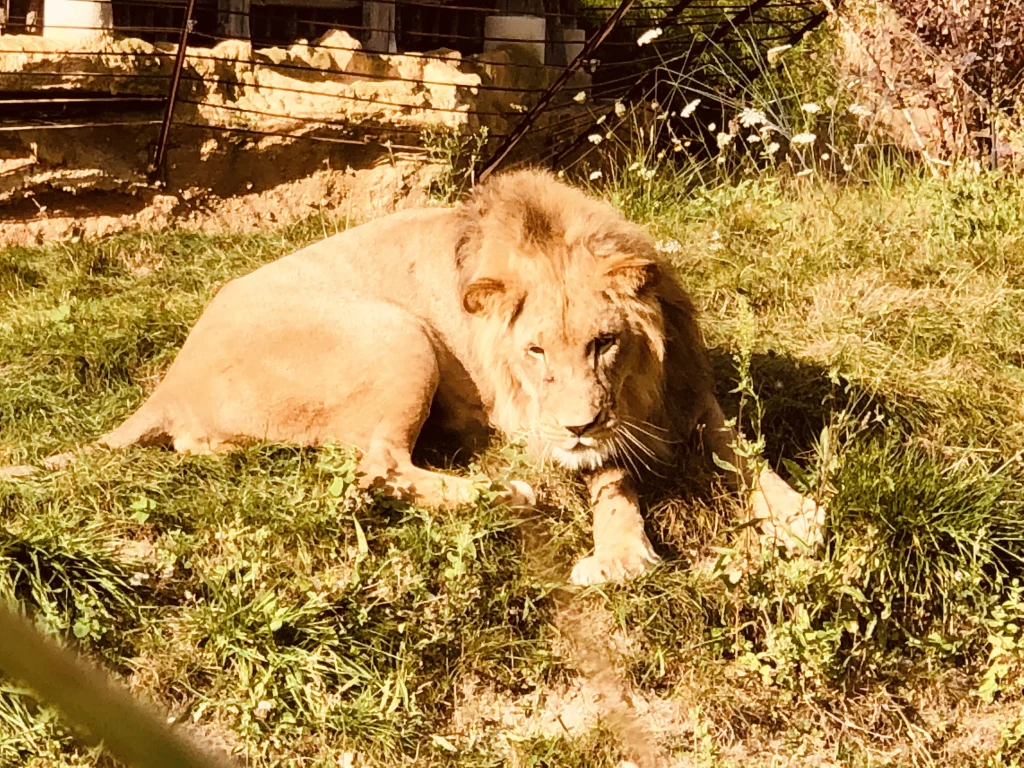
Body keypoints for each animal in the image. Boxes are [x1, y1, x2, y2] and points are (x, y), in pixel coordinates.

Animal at [1, 169, 822, 585]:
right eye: (535, 353)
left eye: (603, 344)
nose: (580, 423)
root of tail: (169, 380)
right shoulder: (540, 426)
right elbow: (610, 476)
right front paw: (622, 554)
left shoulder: (687, 391)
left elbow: (740, 448)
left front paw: (795, 515)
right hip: (395, 334)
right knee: (377, 470)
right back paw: (505, 492)